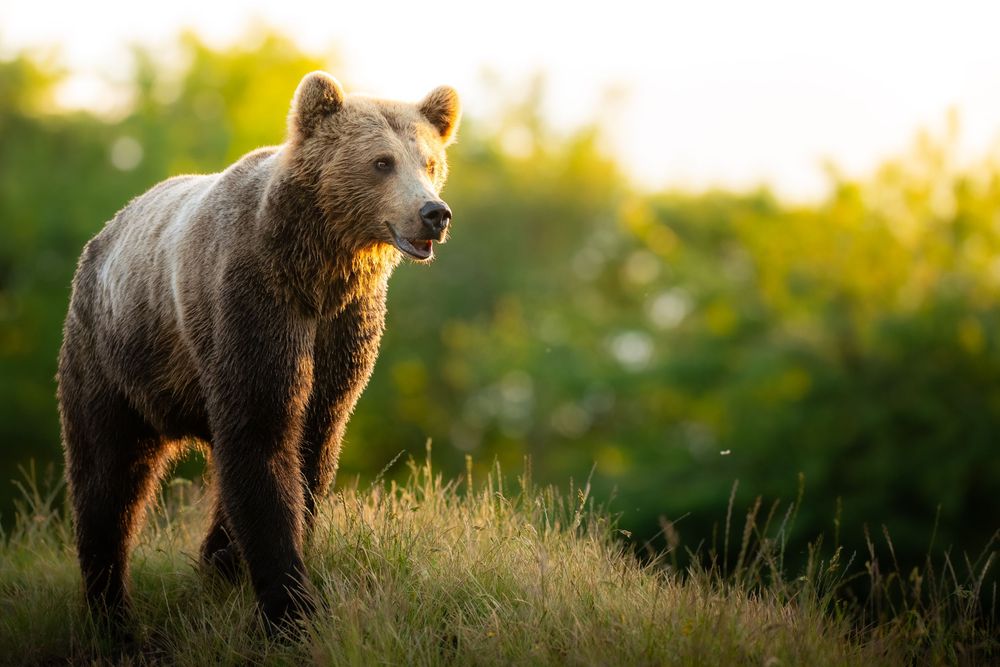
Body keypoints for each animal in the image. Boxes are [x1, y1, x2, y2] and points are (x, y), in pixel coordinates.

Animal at [56, 71, 461, 632]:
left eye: (430, 162)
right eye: (382, 161)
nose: (433, 213)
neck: (314, 270)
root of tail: (103, 236)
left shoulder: (344, 328)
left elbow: (313, 438)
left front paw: (231, 563)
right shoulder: (253, 304)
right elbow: (261, 432)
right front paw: (290, 609)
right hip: (112, 354)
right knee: (106, 473)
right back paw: (111, 609)